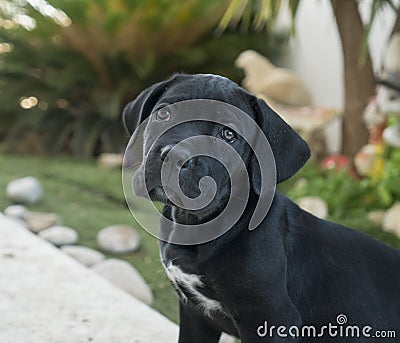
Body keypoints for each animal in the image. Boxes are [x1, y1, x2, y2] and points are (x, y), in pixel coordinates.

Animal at [122, 74, 400, 343]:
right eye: (164, 114)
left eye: (228, 135)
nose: (174, 156)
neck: (195, 225)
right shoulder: (195, 316)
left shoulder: (272, 320)